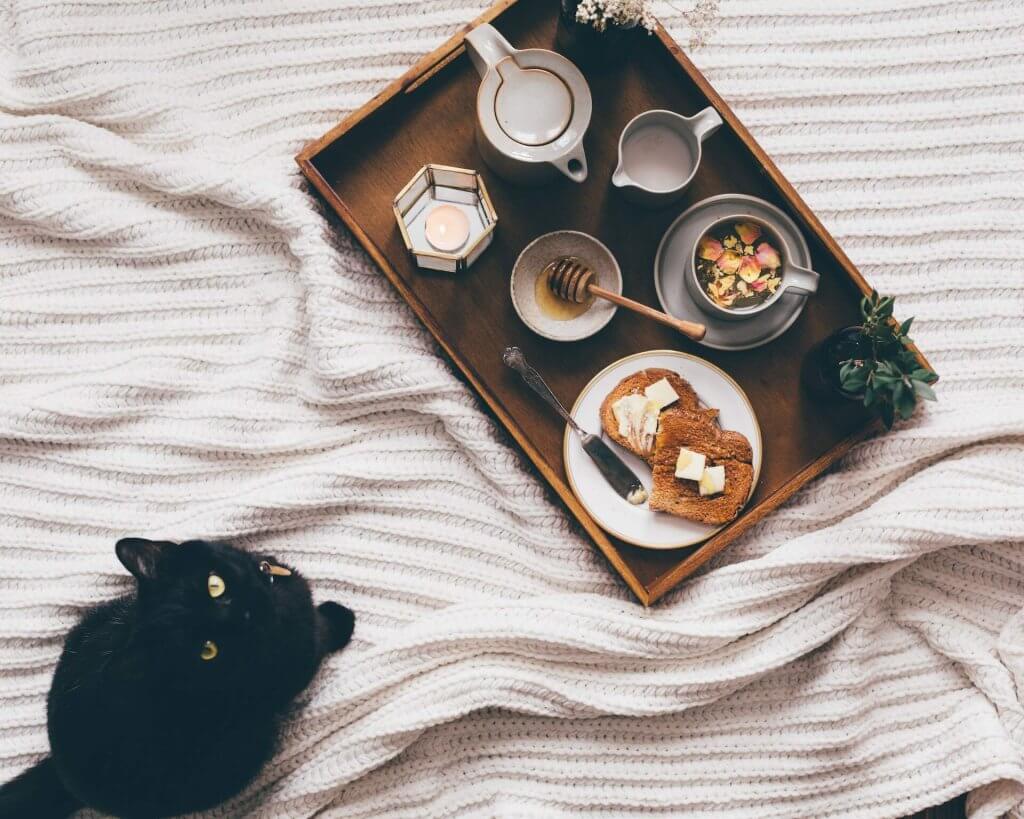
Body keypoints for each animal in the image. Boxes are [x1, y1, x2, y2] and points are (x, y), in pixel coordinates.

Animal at [0, 536, 356, 818]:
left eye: (215, 585)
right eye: (207, 649)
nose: (246, 614)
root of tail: (62, 774)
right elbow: (321, 635)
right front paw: (341, 620)